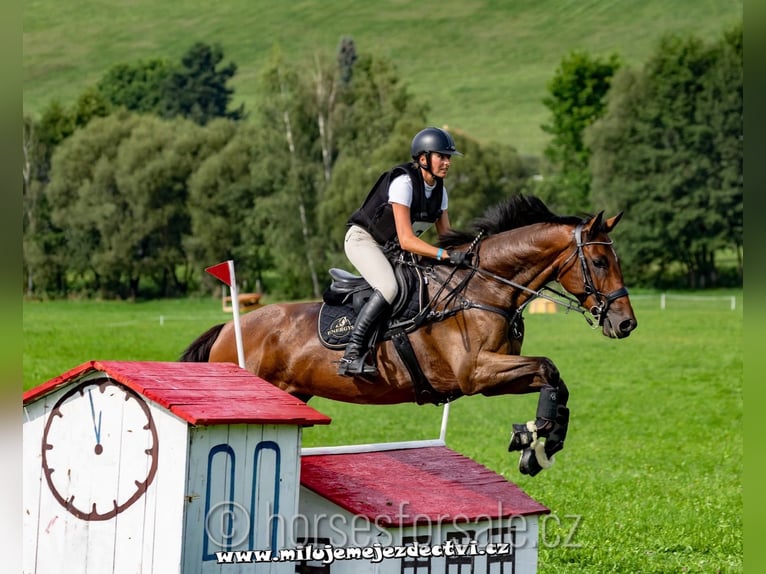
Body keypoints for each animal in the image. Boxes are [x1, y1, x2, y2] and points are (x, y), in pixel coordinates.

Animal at [180, 197, 636, 476]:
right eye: (599, 261)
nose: (626, 324)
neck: (483, 289)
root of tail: (228, 328)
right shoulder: (476, 373)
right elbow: (549, 368)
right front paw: (534, 438)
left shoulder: (491, 379)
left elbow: (554, 379)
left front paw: (540, 443)